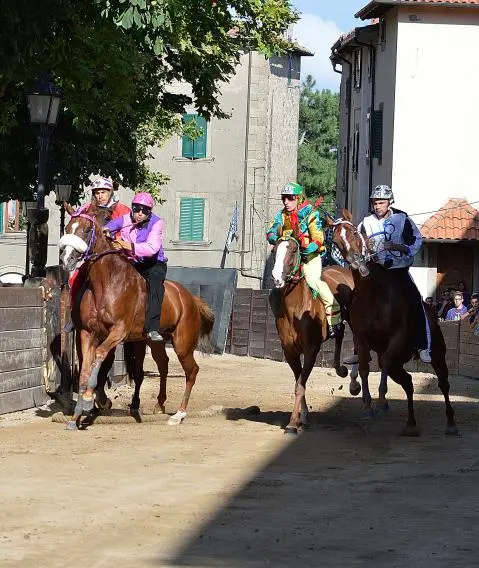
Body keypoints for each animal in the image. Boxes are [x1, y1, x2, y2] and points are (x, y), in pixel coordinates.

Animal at [57, 204, 214, 430]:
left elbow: (99, 356)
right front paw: (77, 414)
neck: (107, 283)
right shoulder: (87, 333)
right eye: (69, 227)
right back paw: (159, 404)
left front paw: (88, 399)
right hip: (155, 341)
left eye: (87, 229)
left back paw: (179, 413)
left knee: (191, 371)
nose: (66, 259)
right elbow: (86, 368)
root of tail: (190, 298)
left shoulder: (118, 332)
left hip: (183, 344)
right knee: (163, 364)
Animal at [270, 235, 356, 434]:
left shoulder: (311, 349)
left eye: (293, 250)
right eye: (274, 250)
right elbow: (298, 381)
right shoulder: (289, 351)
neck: (295, 309)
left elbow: (300, 385)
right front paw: (303, 417)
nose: (277, 278)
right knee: (340, 334)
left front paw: (292, 423)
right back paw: (340, 369)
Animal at [328, 211, 460, 438]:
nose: (356, 262)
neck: (375, 295)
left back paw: (451, 423)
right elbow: (364, 368)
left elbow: (384, 361)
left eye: (354, 232)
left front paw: (381, 402)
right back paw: (411, 423)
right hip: (400, 364)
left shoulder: (397, 338)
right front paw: (368, 405)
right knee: (408, 382)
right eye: (336, 241)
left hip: (437, 354)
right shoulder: (361, 339)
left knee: (443, 383)